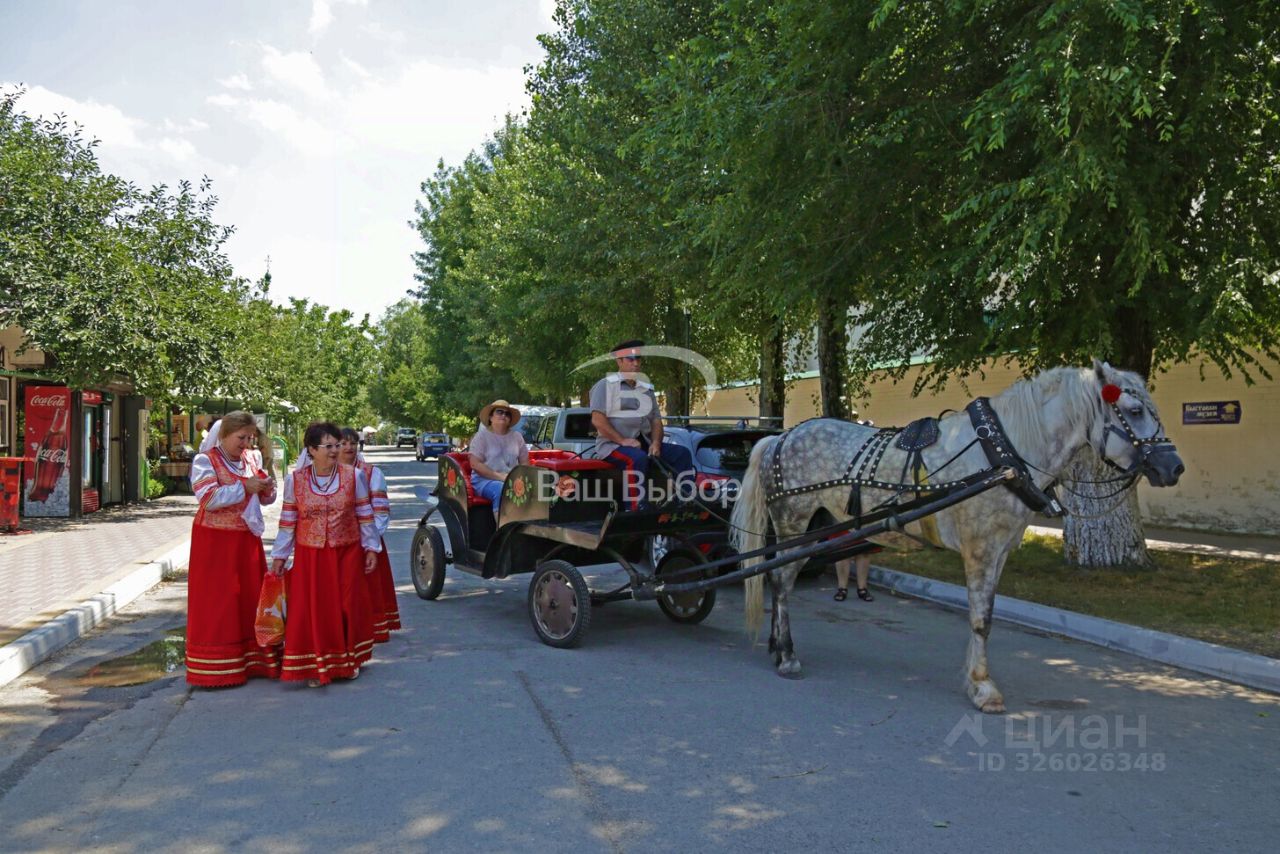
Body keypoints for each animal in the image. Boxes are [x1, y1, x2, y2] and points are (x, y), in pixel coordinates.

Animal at [731, 360, 1184, 713]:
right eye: (1134, 410)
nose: (1174, 467)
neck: (1004, 453)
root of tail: (780, 436)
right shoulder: (980, 548)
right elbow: (980, 618)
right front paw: (983, 687)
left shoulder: (1002, 550)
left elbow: (987, 616)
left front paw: (974, 678)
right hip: (794, 520)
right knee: (781, 582)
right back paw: (787, 656)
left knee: (779, 578)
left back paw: (776, 646)